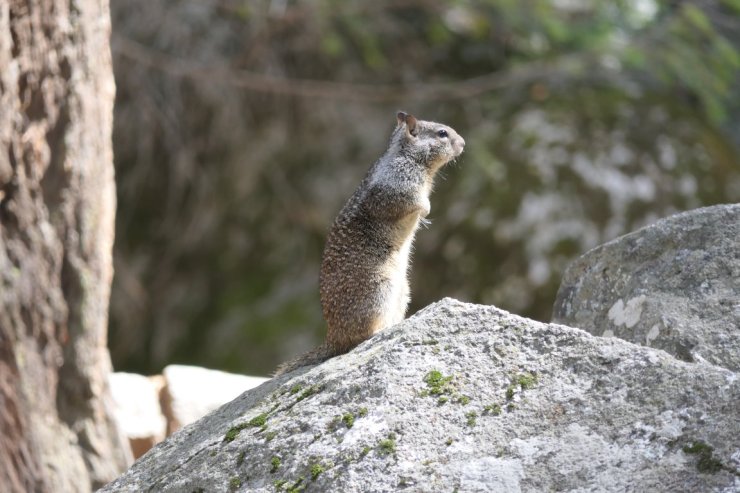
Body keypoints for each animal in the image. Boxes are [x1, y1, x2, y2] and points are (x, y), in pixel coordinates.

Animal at [275, 111, 465, 376]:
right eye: (442, 133)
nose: (464, 143)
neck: (409, 158)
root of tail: (333, 338)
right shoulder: (398, 184)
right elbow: (411, 202)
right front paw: (426, 211)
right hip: (378, 290)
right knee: (360, 337)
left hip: (402, 291)